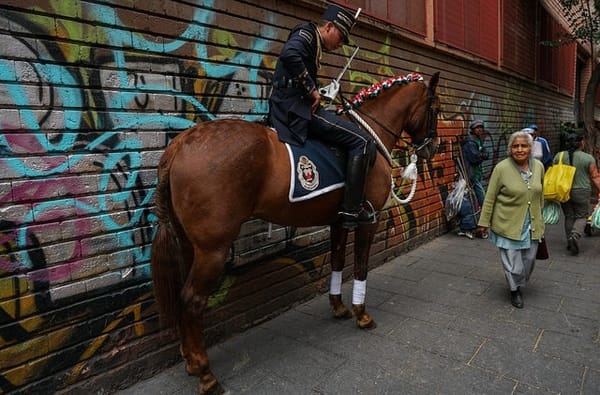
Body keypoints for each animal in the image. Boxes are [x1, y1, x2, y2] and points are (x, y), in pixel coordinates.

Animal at [150, 72, 440, 395]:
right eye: (435, 108)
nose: (432, 148)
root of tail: (180, 145)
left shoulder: (339, 222)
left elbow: (337, 262)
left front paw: (338, 307)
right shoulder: (368, 221)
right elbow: (361, 266)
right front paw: (361, 314)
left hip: (190, 245)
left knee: (182, 297)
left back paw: (190, 360)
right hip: (213, 250)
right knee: (192, 301)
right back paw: (205, 373)